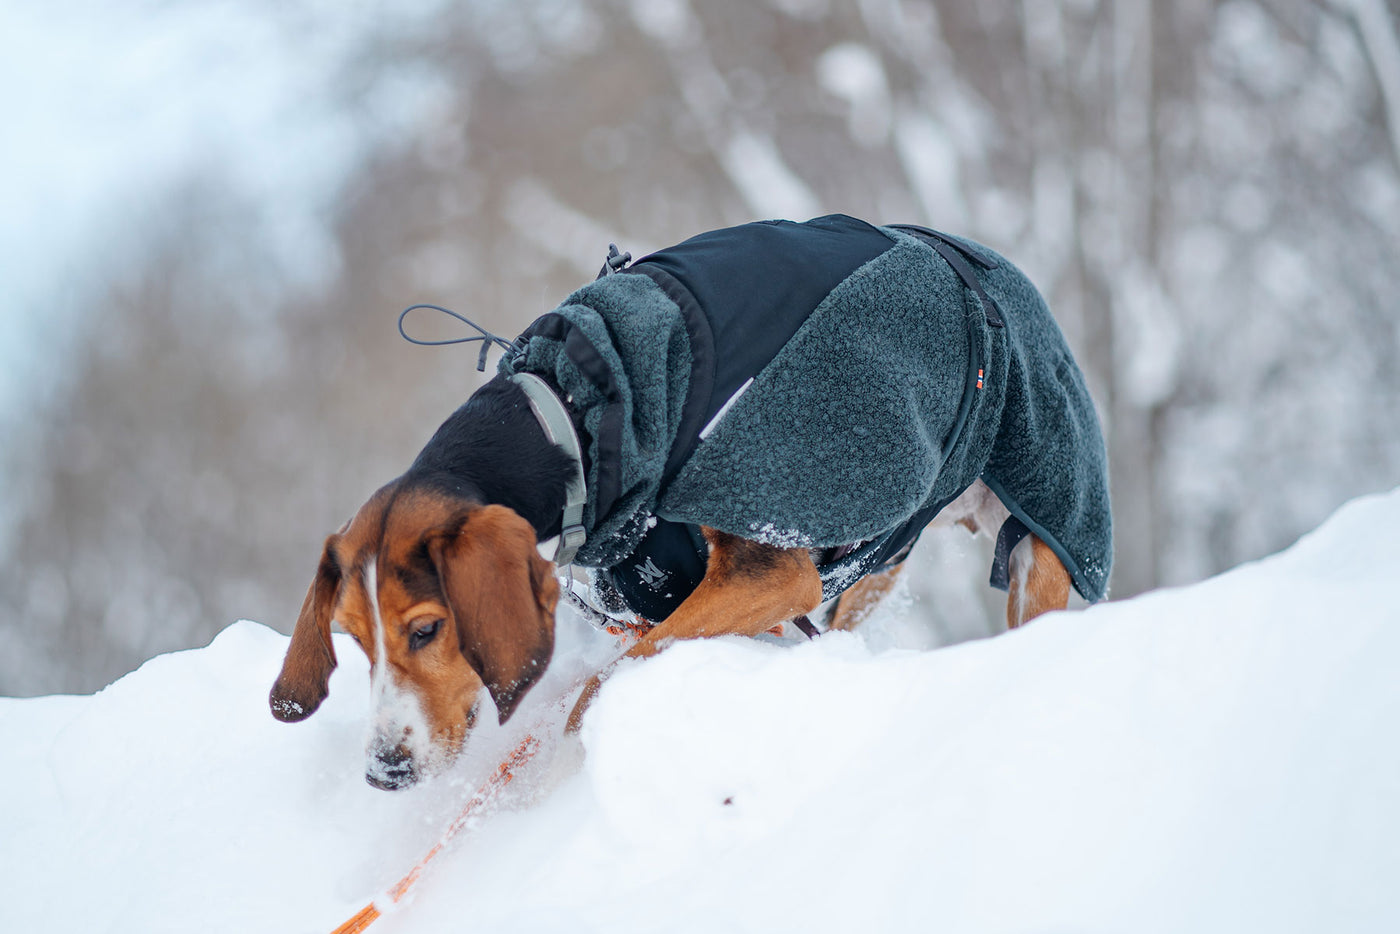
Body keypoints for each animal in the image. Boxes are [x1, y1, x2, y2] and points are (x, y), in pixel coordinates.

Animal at [267, 214, 1108, 789]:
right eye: (353, 639)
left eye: (427, 629)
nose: (383, 770)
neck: (571, 417)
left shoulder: (771, 572)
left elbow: (605, 682)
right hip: (875, 563)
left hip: (1047, 533)